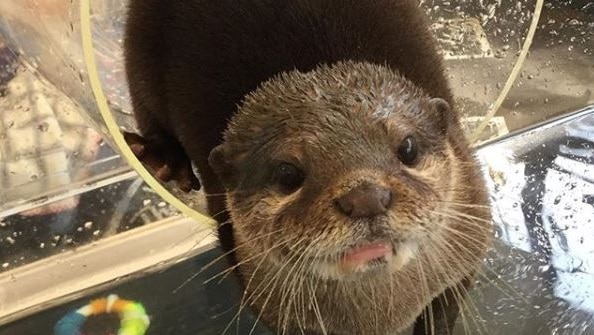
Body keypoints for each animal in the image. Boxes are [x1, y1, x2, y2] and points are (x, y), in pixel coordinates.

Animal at [122, 1, 488, 334]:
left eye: (408, 148)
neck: (384, 317)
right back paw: (161, 160)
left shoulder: (464, 264)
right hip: (140, 42)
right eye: (287, 174)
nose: (365, 197)